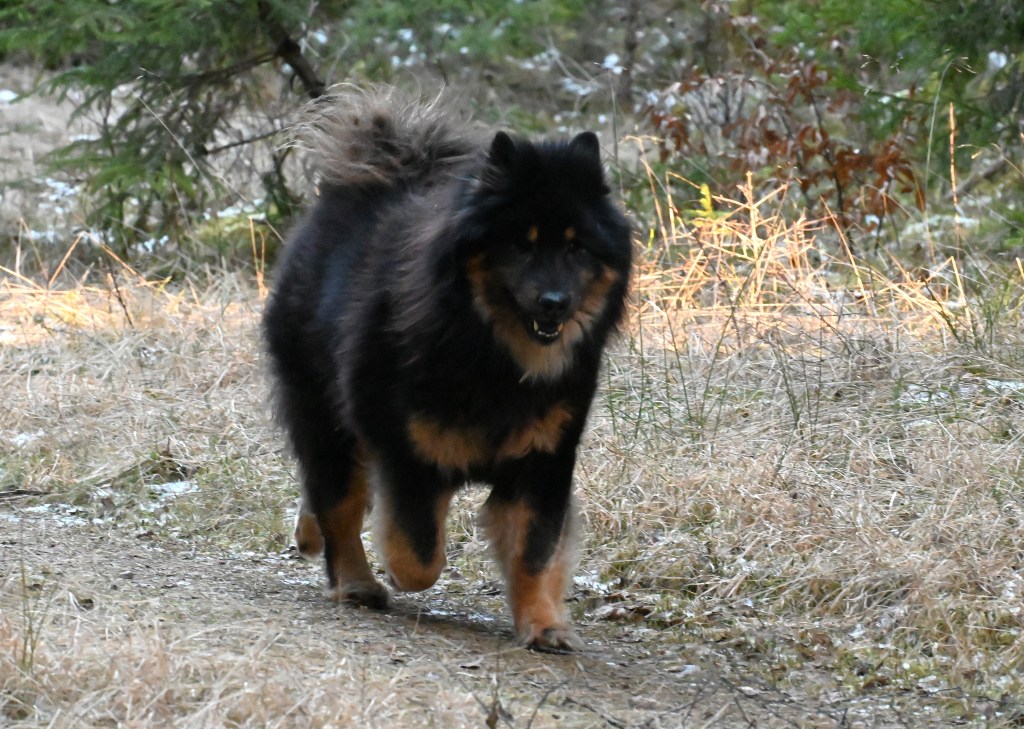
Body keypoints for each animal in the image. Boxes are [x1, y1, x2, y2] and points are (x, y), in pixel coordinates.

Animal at [262, 89, 632, 652]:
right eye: (521, 243)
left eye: (575, 246)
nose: (555, 302)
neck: (494, 357)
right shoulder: (410, 451)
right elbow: (418, 553)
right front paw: (395, 569)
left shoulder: (543, 461)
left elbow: (535, 552)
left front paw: (543, 624)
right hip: (323, 407)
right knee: (339, 500)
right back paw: (356, 582)